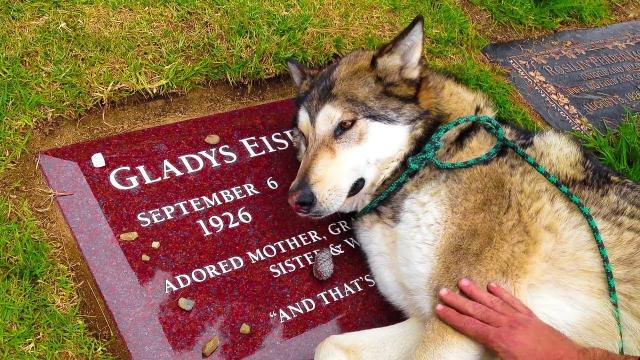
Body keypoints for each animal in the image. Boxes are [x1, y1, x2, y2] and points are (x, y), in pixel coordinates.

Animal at [284, 15, 640, 358]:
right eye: (302, 136)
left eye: (344, 125)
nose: (296, 199)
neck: (419, 168)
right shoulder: (429, 318)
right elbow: (329, 344)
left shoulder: (457, 324)